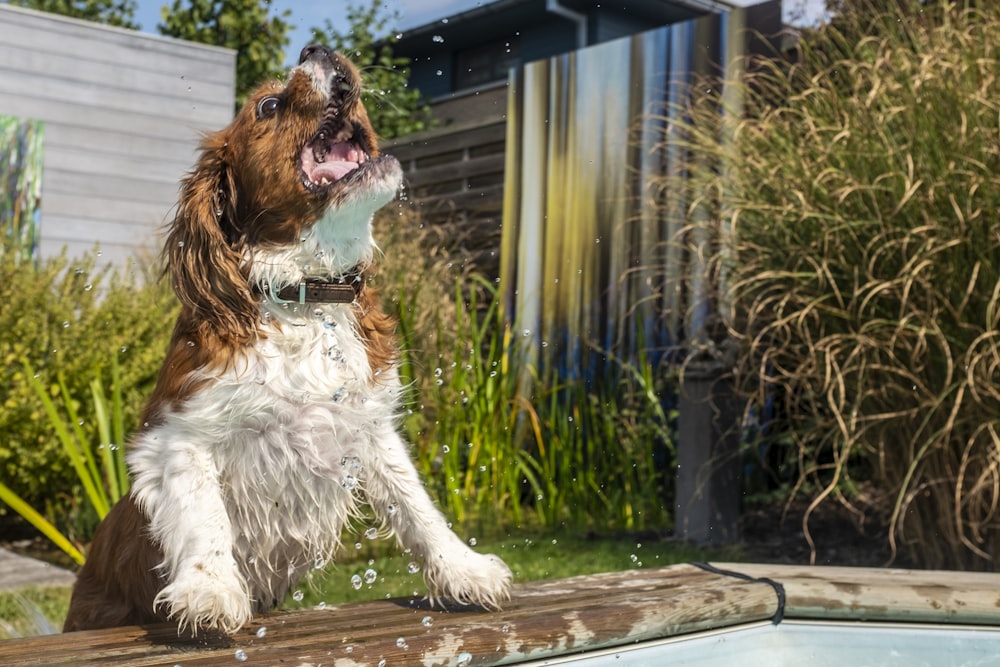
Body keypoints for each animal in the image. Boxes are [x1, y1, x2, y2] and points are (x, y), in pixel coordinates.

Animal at [62, 44, 512, 636]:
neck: (305, 296)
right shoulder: (178, 433)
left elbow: (416, 503)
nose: (315, 48)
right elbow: (205, 514)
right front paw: (210, 590)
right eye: (269, 105)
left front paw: (463, 569)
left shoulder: (370, 427)